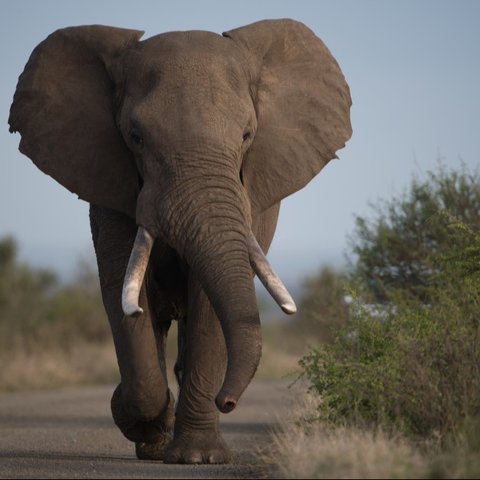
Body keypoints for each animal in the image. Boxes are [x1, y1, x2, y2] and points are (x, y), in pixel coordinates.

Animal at [8, 19, 352, 464]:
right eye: (135, 137)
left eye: (247, 135)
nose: (228, 401)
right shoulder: (110, 181)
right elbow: (122, 292)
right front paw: (144, 423)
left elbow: (208, 302)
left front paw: (197, 457)